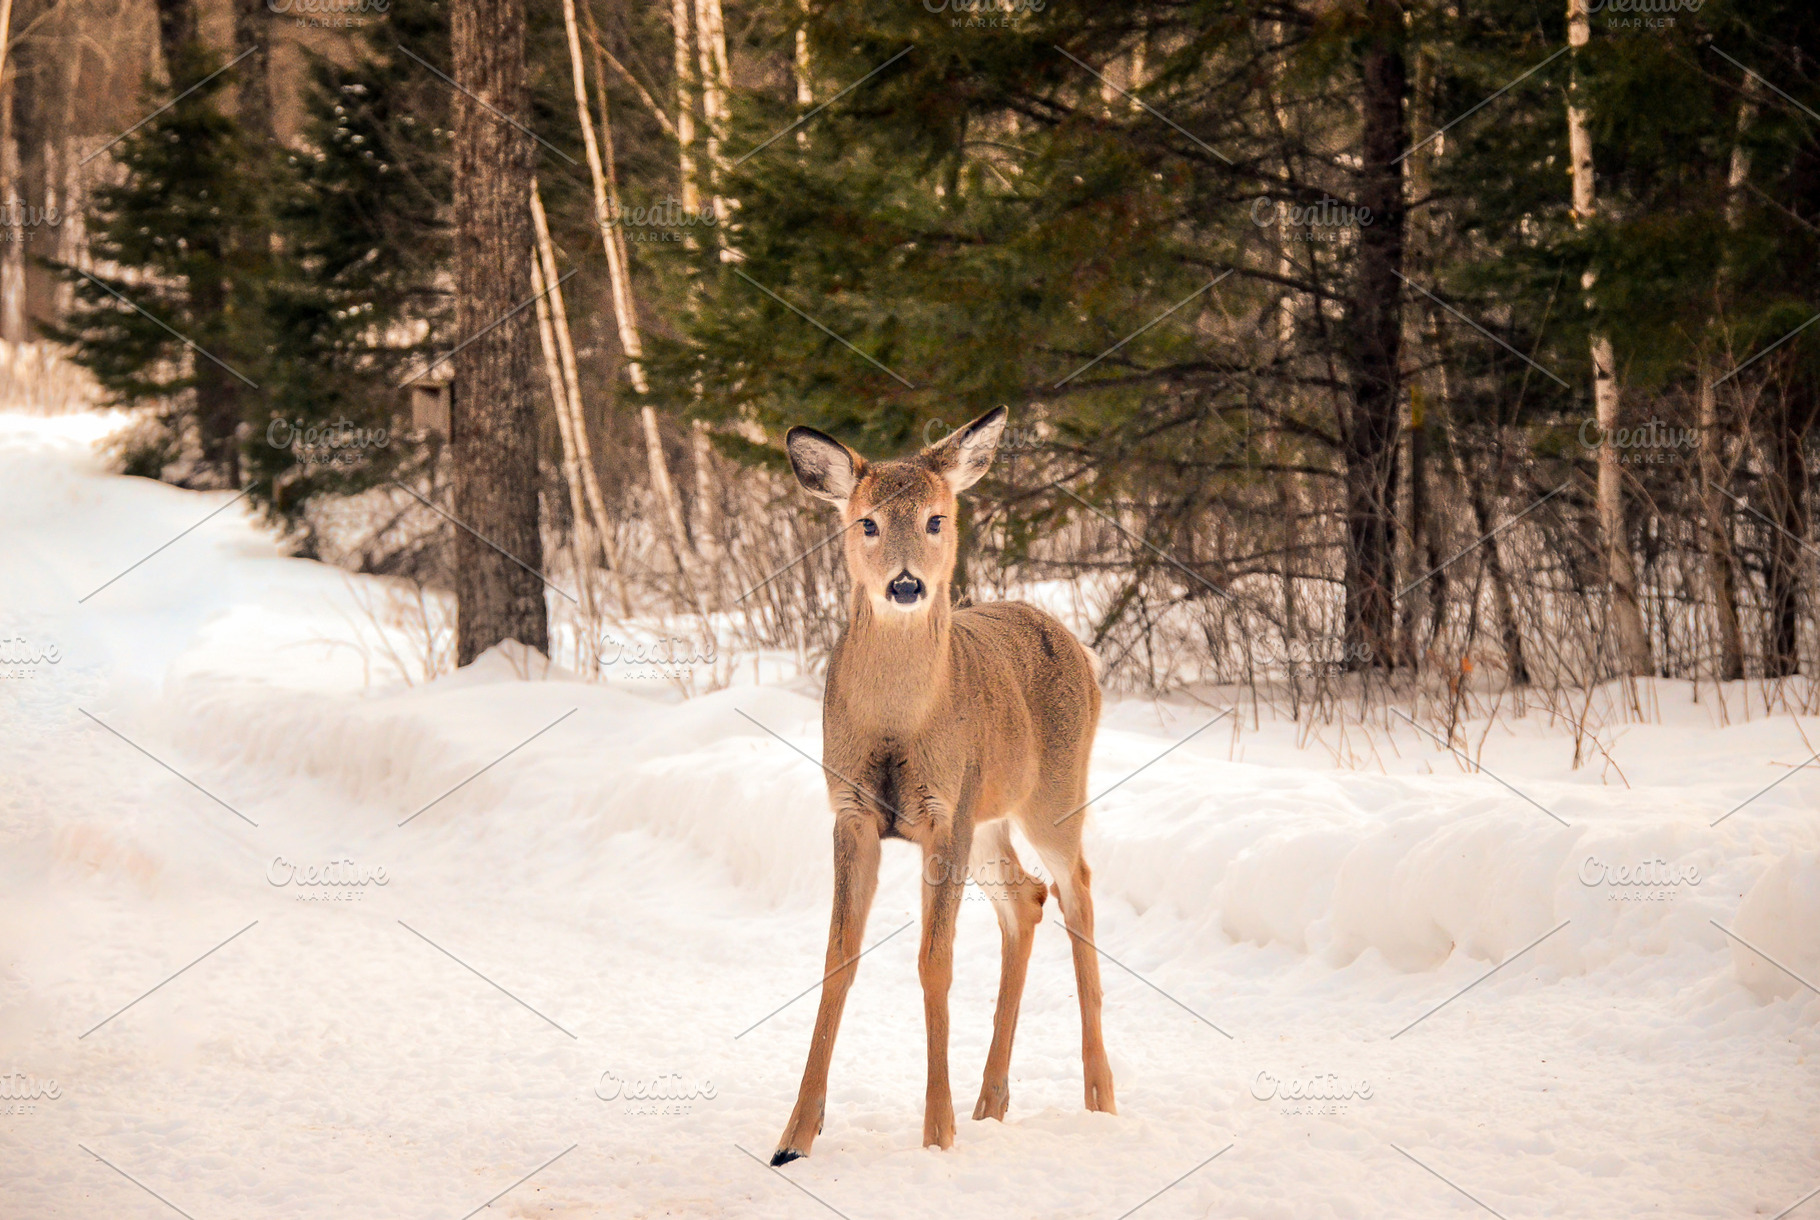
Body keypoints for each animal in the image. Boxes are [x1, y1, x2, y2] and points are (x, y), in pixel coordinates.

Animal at [770, 405, 1114, 1165]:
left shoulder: (942, 812)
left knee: (1077, 888)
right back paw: (992, 1101)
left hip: (1051, 795)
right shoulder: (851, 811)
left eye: (935, 518)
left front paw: (937, 1132)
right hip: (988, 819)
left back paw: (1099, 1094)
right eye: (866, 522)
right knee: (1027, 898)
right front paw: (794, 1137)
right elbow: (838, 957)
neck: (898, 723)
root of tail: (1076, 643)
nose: (905, 586)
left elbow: (935, 962)